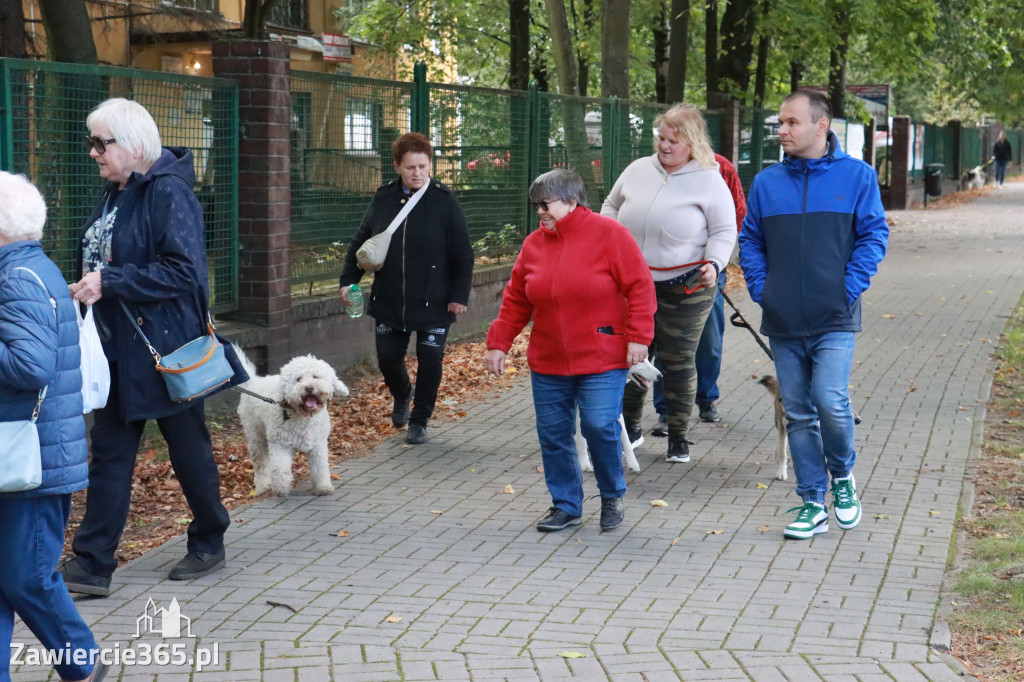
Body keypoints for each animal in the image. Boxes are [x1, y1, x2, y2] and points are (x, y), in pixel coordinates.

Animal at [234, 348, 348, 497]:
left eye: (315, 377)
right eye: (298, 379)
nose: (309, 388)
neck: (302, 416)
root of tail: (253, 382)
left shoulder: (318, 445)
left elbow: (320, 468)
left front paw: (323, 487)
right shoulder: (280, 444)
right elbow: (280, 469)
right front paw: (281, 488)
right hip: (256, 436)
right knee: (260, 463)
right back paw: (263, 485)